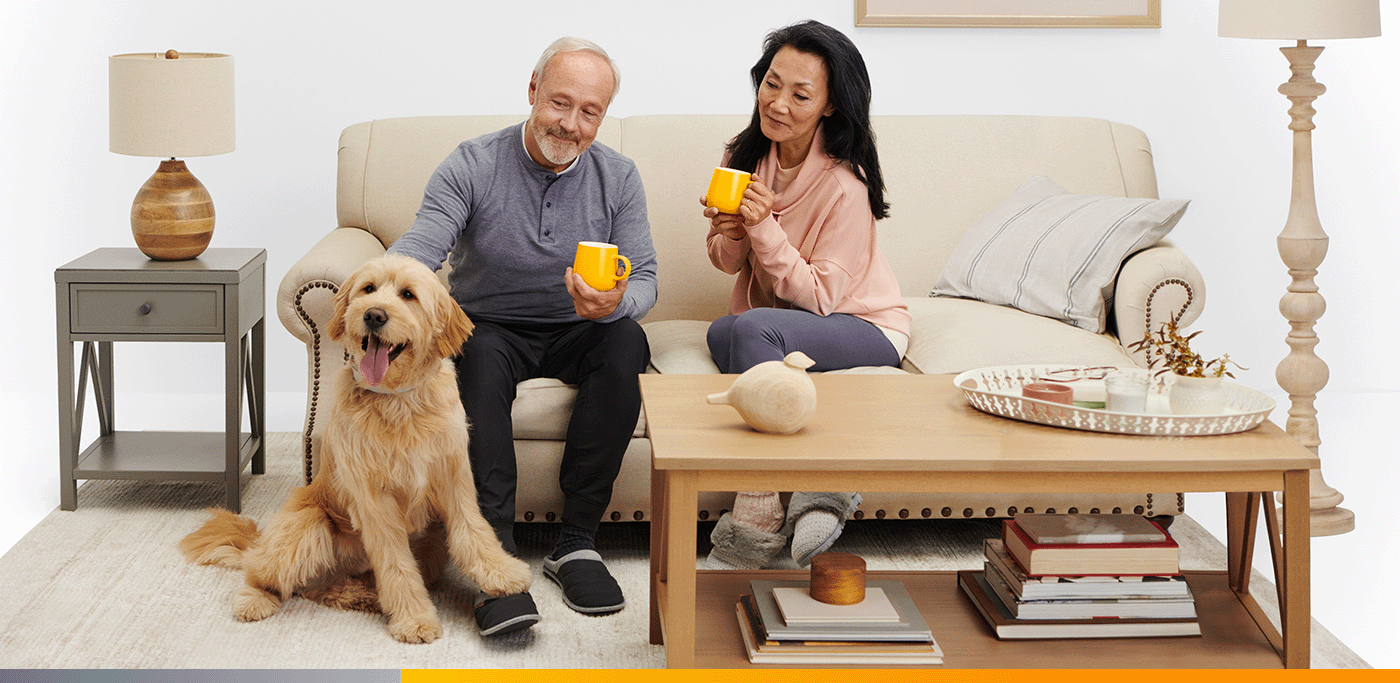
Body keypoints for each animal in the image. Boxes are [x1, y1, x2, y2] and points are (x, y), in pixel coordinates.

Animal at [180, 253, 529, 643]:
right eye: (368, 289)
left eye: (408, 294)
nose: (374, 315)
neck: (397, 400)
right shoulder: (375, 498)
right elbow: (396, 563)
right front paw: (414, 618)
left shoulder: (452, 476)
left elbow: (474, 530)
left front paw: (502, 573)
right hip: (307, 523)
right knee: (267, 574)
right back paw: (256, 599)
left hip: (430, 549)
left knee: (325, 588)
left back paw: (364, 595)